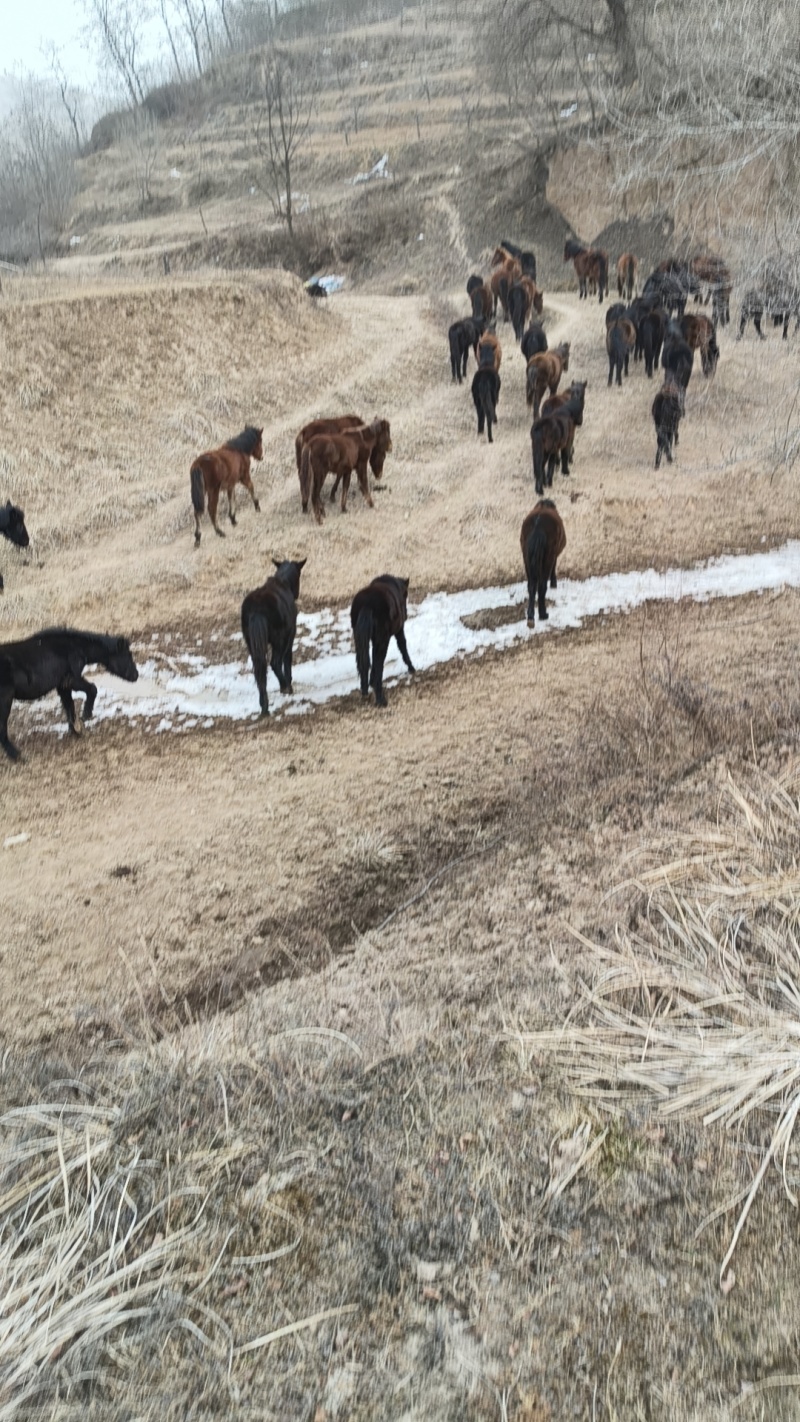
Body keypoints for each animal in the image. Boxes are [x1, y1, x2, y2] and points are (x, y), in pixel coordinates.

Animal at [0, 629, 139, 762]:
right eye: (127, 655)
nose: (136, 675)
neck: (74, 647)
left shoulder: (62, 686)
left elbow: (69, 706)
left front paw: (75, 731)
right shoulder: (71, 681)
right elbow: (92, 689)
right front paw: (85, 715)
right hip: (5, 700)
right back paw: (17, 756)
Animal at [241, 559, 306, 717]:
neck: (282, 581)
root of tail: (256, 609)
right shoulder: (290, 635)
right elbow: (287, 660)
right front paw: (288, 683)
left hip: (251, 643)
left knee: (259, 670)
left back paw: (264, 706)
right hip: (279, 640)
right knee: (275, 663)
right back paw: (285, 687)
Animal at [351, 574, 415, 708]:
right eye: (405, 595)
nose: (405, 615)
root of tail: (367, 605)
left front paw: (371, 681)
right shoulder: (398, 631)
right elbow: (403, 647)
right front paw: (411, 667)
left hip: (360, 640)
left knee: (364, 662)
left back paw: (365, 691)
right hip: (382, 640)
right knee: (379, 664)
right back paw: (380, 699)